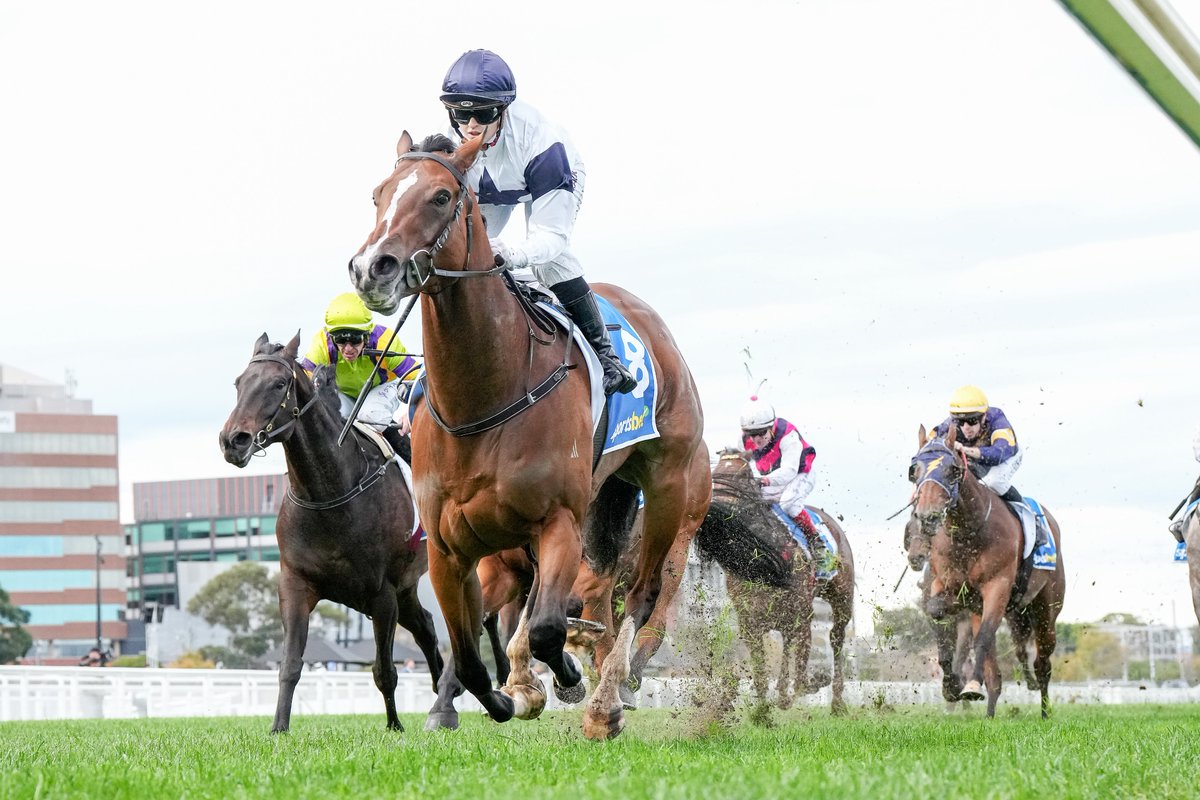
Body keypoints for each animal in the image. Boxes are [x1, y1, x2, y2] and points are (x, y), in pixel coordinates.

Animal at [218, 331, 444, 734]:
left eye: (279, 384)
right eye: (238, 383)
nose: (234, 441)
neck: (330, 494)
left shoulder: (382, 593)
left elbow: (384, 671)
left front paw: (395, 727)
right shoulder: (295, 584)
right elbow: (290, 665)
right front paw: (278, 728)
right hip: (406, 589)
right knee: (426, 627)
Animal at [345, 130, 710, 738]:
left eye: (442, 197)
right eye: (378, 193)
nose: (372, 268)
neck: (483, 398)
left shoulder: (559, 521)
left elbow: (546, 629)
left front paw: (564, 679)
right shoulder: (449, 550)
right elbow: (473, 660)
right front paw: (515, 694)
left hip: (668, 488)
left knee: (639, 596)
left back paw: (606, 700)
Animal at [700, 448, 859, 714]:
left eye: (741, 475)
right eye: (715, 476)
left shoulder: (801, 613)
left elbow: (801, 669)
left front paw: (811, 683)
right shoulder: (750, 621)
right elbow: (761, 671)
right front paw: (763, 708)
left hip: (841, 596)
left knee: (836, 639)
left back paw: (836, 701)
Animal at [907, 424, 1070, 719]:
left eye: (953, 469)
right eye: (914, 470)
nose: (927, 516)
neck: (969, 532)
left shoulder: (998, 586)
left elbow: (982, 638)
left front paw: (970, 685)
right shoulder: (944, 584)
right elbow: (939, 615)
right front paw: (951, 686)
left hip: (1047, 610)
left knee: (1042, 663)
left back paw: (1044, 712)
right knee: (996, 675)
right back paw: (990, 714)